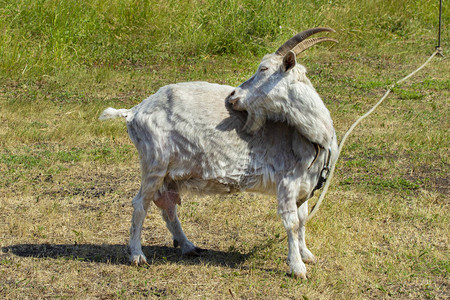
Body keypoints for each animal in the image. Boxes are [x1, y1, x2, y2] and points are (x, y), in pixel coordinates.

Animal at [98, 28, 338, 278]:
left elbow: (303, 220)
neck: (313, 138)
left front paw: (306, 254)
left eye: (263, 69)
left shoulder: (305, 186)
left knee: (168, 208)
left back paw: (188, 246)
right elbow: (291, 223)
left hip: (167, 174)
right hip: (154, 163)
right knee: (140, 205)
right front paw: (297, 267)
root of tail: (133, 111)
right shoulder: (286, 184)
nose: (232, 95)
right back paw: (137, 255)